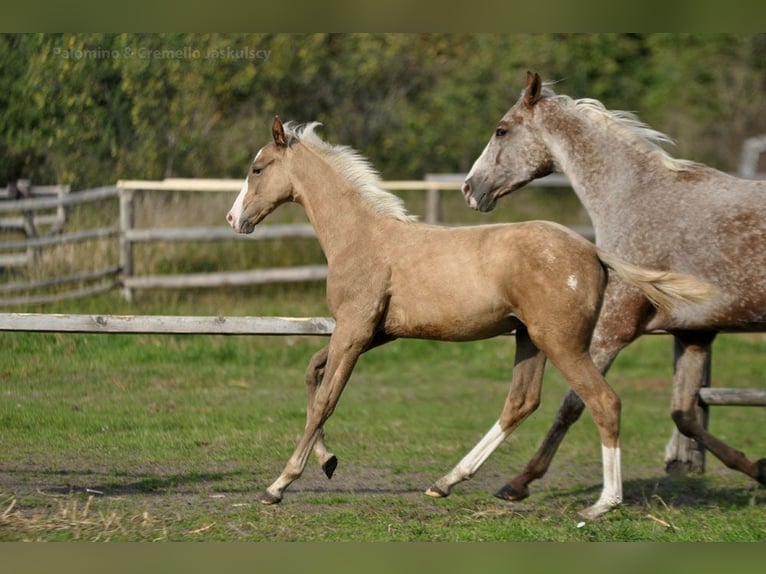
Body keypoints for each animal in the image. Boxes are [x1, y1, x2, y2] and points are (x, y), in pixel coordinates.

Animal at [226, 116, 713, 519]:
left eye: (257, 168)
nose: (234, 219)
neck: (362, 237)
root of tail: (592, 249)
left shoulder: (354, 330)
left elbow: (326, 399)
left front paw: (278, 485)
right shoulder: (376, 333)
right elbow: (312, 374)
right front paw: (328, 462)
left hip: (562, 342)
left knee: (603, 402)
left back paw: (602, 505)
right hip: (530, 339)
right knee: (521, 402)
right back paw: (447, 482)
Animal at [462, 71, 766, 503]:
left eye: (501, 130)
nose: (470, 189)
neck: (636, 201)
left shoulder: (612, 327)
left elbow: (574, 404)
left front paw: (519, 482)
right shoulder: (694, 333)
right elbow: (685, 416)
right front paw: (758, 468)